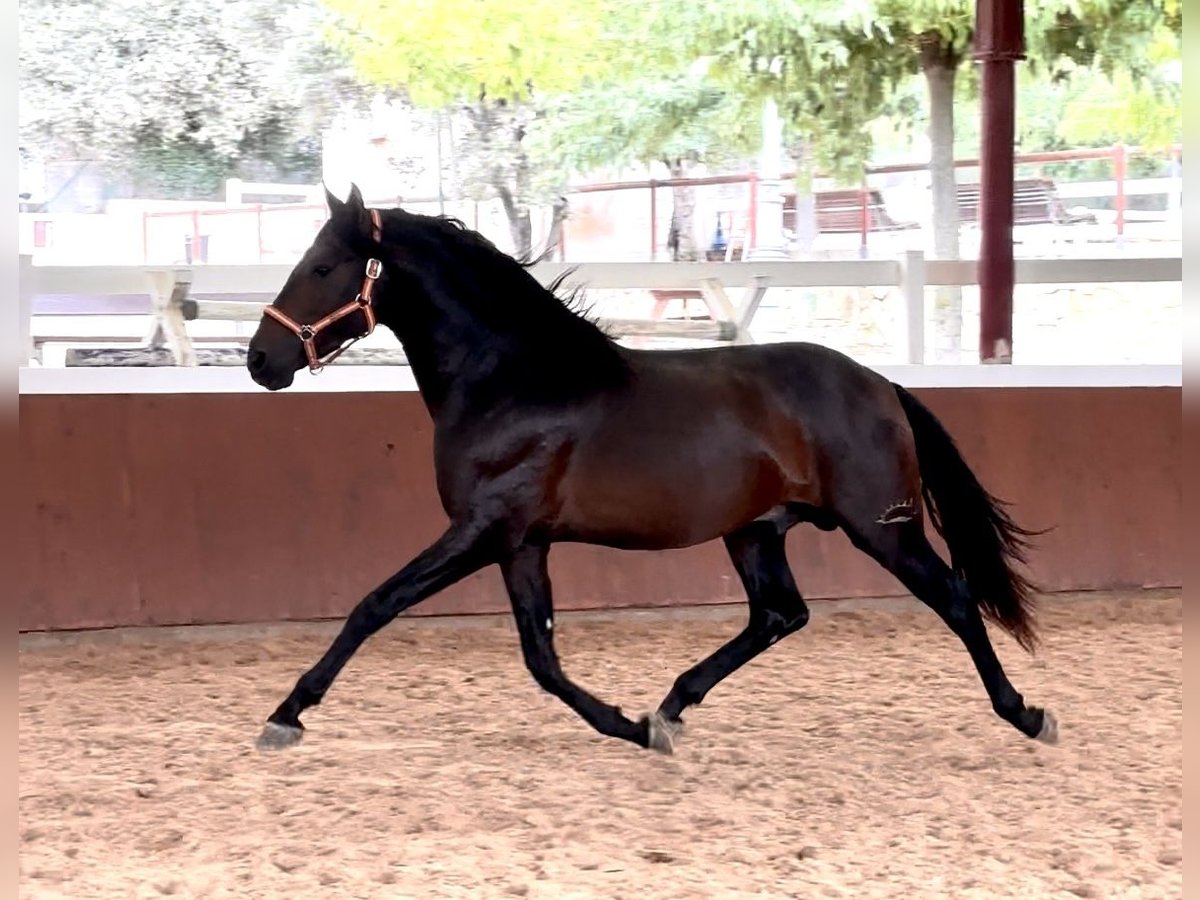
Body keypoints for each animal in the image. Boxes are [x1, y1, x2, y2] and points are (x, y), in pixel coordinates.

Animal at [246, 187, 1060, 758]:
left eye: (322, 267)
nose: (261, 361)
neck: (513, 380)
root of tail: (881, 384)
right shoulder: (522, 543)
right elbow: (541, 657)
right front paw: (635, 728)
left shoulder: (483, 530)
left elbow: (374, 605)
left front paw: (286, 715)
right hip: (755, 531)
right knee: (779, 614)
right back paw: (671, 706)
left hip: (883, 529)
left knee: (954, 600)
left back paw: (1026, 713)